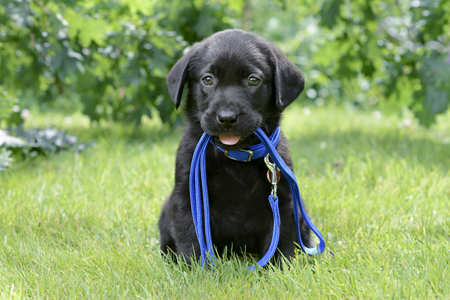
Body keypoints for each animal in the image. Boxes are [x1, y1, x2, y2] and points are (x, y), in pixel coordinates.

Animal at [158, 29, 312, 264]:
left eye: (253, 80)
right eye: (208, 79)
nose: (227, 118)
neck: (235, 155)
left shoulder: (283, 197)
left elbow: (280, 239)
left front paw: (279, 268)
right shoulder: (187, 194)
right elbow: (191, 237)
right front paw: (193, 269)